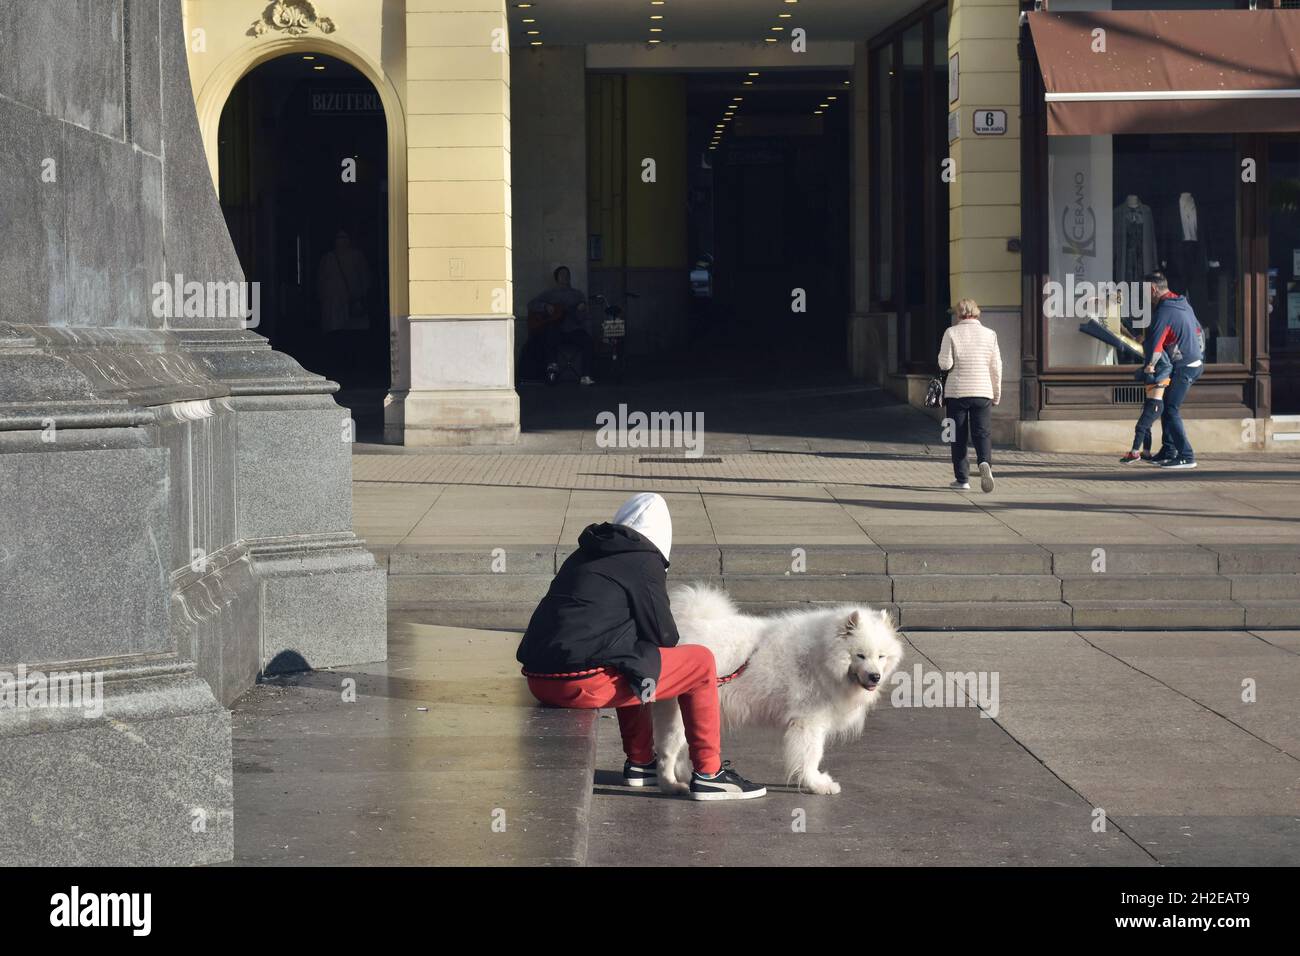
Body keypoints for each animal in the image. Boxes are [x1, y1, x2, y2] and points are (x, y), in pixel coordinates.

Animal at [655, 587, 899, 796]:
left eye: (881, 656)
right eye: (860, 655)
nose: (875, 676)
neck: (823, 655)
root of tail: (685, 628)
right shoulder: (809, 721)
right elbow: (812, 755)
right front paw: (817, 784)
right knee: (666, 753)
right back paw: (672, 786)